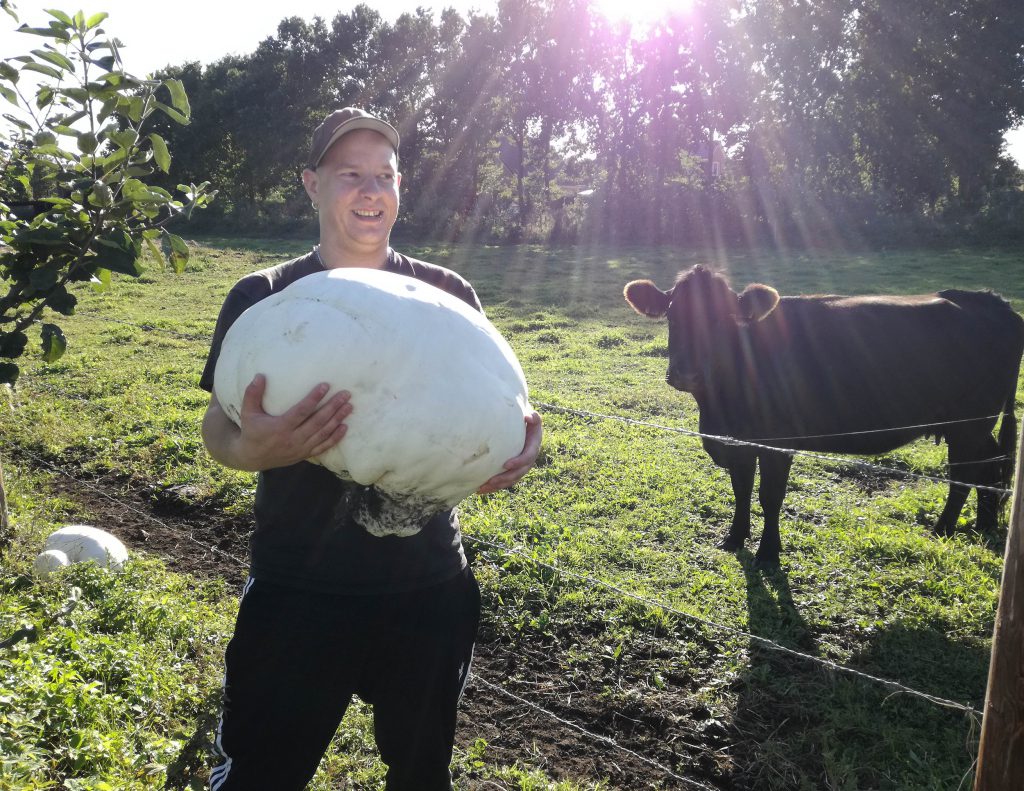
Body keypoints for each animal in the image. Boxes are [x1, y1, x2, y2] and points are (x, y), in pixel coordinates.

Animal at [622, 268, 1024, 565]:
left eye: (724, 319)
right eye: (672, 315)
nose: (686, 373)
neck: (720, 407)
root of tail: (990, 300)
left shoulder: (777, 442)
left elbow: (770, 495)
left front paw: (768, 553)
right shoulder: (738, 440)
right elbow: (741, 489)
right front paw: (734, 538)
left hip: (969, 423)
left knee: (966, 474)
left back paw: (943, 529)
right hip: (971, 426)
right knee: (989, 467)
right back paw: (982, 525)